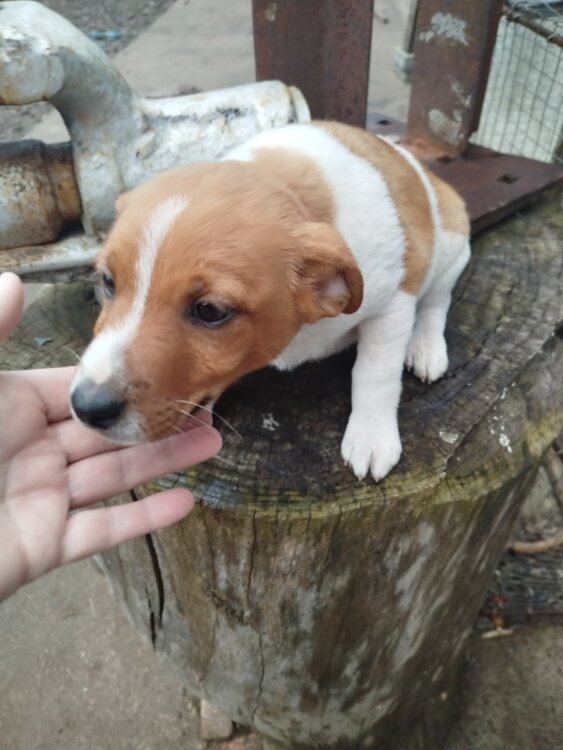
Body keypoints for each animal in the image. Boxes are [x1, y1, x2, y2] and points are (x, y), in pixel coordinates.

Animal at [70, 121, 470, 481]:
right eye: (108, 282)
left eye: (210, 311)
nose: (86, 408)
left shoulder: (395, 302)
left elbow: (375, 374)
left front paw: (371, 437)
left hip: (452, 247)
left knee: (437, 301)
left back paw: (426, 348)